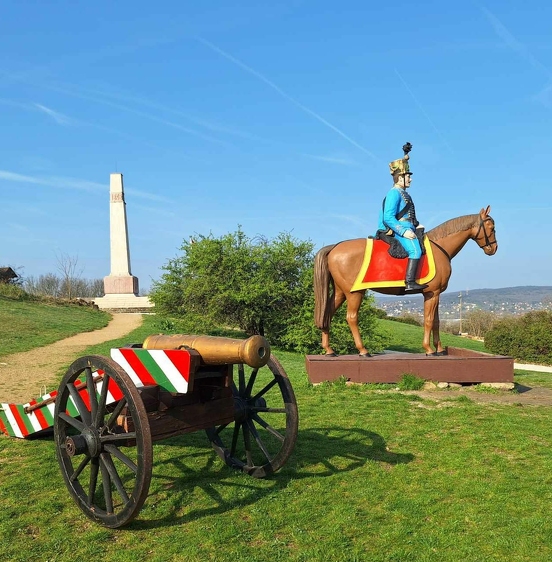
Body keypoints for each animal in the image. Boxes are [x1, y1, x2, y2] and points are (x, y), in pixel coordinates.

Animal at [312, 205, 498, 354]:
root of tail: (335, 247)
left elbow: (436, 321)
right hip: (355, 292)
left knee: (327, 314)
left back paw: (329, 350)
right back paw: (363, 350)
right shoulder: (431, 293)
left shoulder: (436, 293)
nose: (494, 248)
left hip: (340, 291)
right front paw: (429, 349)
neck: (441, 247)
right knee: (351, 318)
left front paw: (439, 349)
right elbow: (428, 320)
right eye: (491, 226)